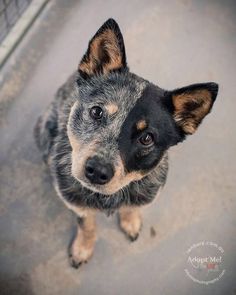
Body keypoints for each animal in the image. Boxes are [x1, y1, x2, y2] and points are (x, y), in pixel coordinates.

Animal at [34, 17, 218, 268]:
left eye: (147, 138)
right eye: (97, 111)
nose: (97, 170)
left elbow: (131, 208)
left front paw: (130, 221)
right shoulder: (75, 202)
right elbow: (86, 224)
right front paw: (83, 248)